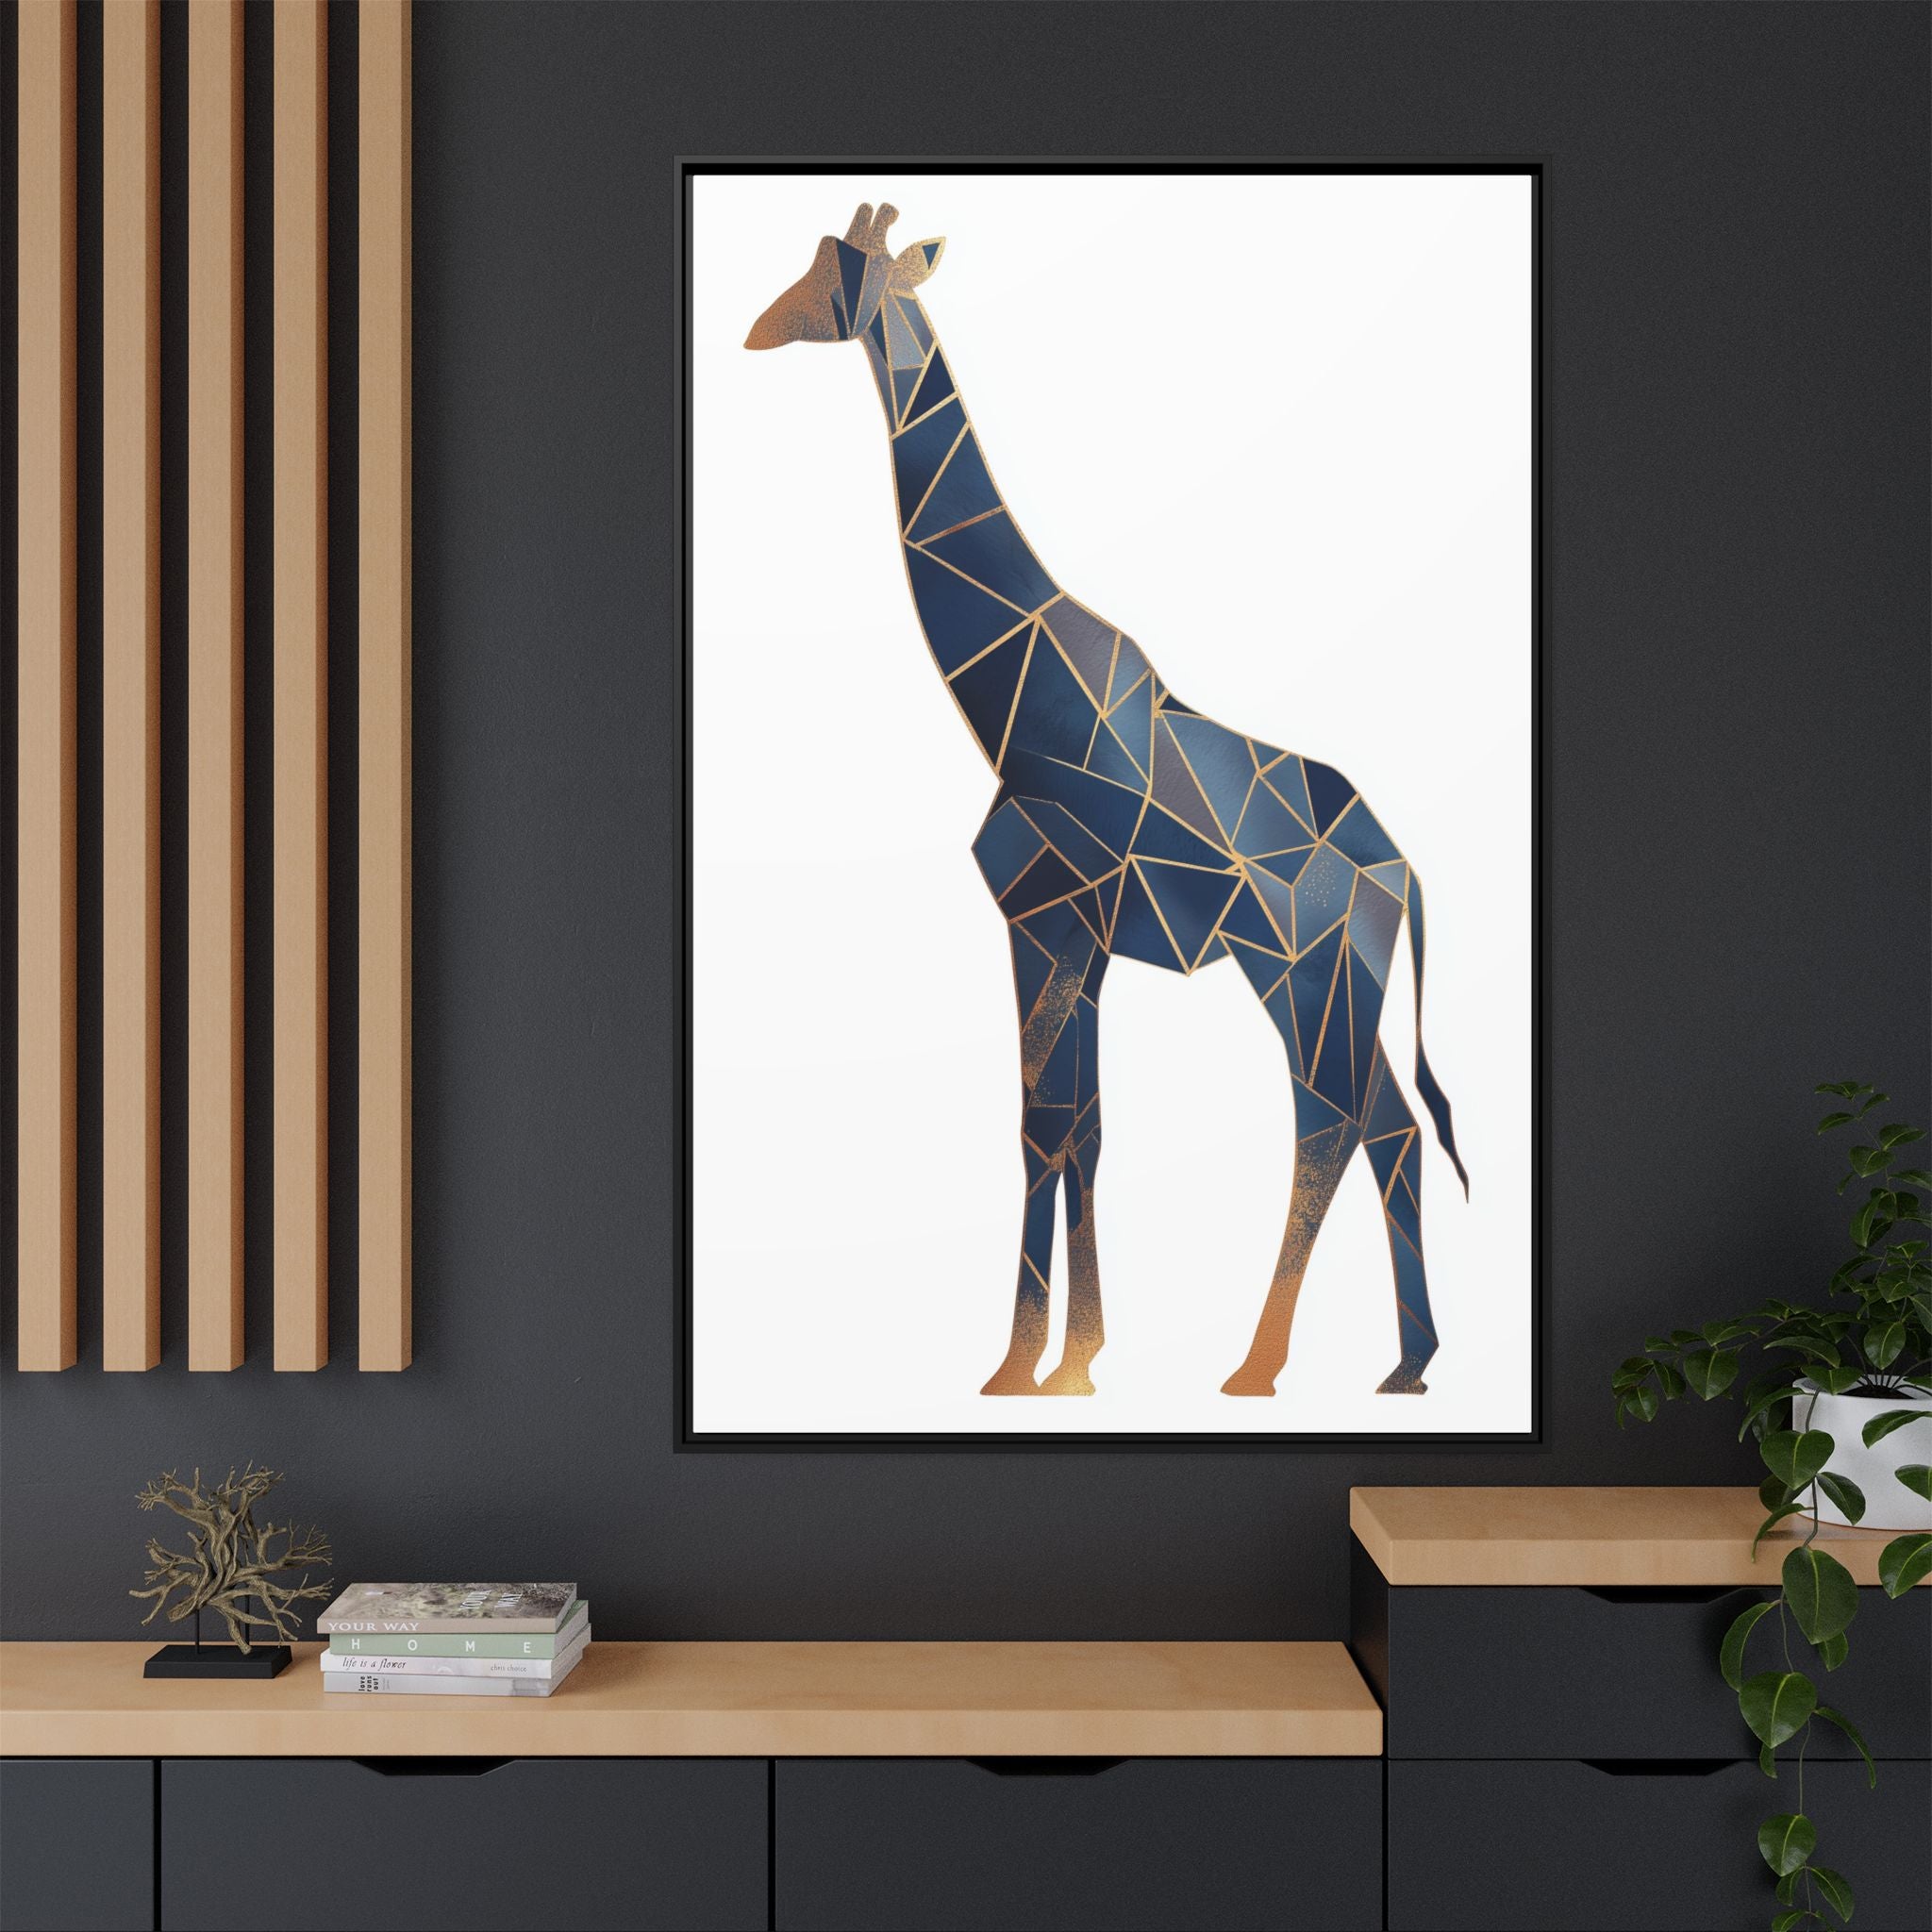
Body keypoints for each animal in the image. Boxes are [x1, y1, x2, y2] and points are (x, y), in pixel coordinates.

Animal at [745, 202, 1468, 1401]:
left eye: (840, 275)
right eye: (811, 262)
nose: (758, 328)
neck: (1012, 700)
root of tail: (1400, 871)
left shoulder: (1047, 920)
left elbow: (1046, 1126)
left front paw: (1037, 1363)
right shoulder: (1069, 939)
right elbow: (1072, 1126)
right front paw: (1055, 1358)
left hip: (1300, 969)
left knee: (1329, 1121)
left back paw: (1258, 1366)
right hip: (1335, 980)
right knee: (1389, 1127)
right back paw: (1404, 1363)